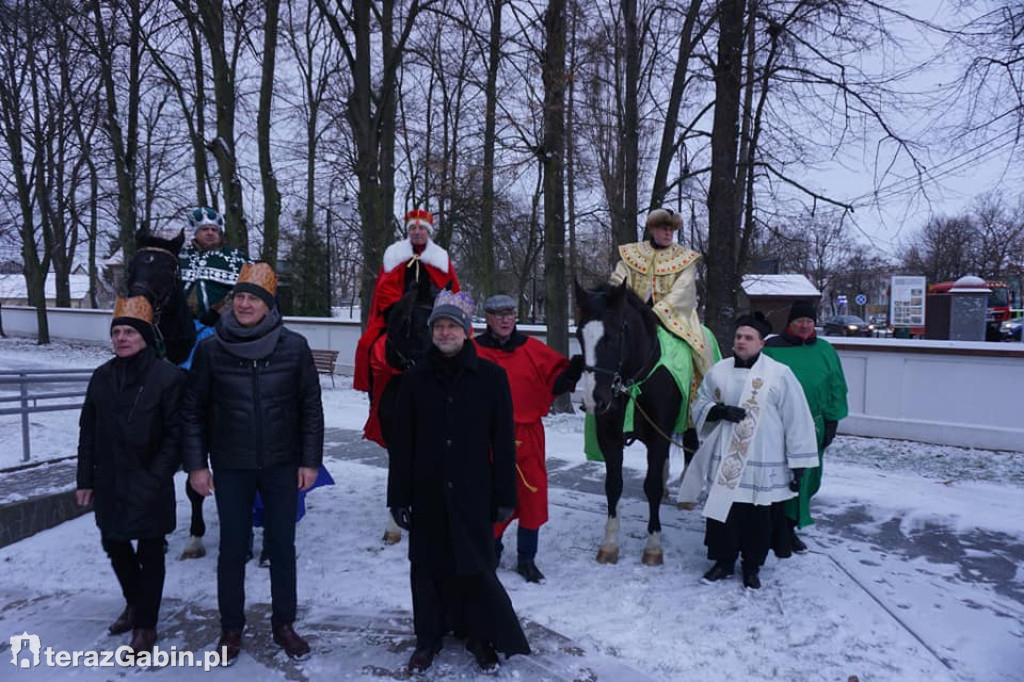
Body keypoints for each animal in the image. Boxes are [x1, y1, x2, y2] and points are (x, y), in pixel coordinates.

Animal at [577, 278, 688, 565]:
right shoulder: (609, 438)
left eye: (613, 336)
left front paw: (653, 546)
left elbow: (651, 487)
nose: (594, 401)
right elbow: (613, 485)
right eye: (580, 336)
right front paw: (609, 544)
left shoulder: (659, 435)